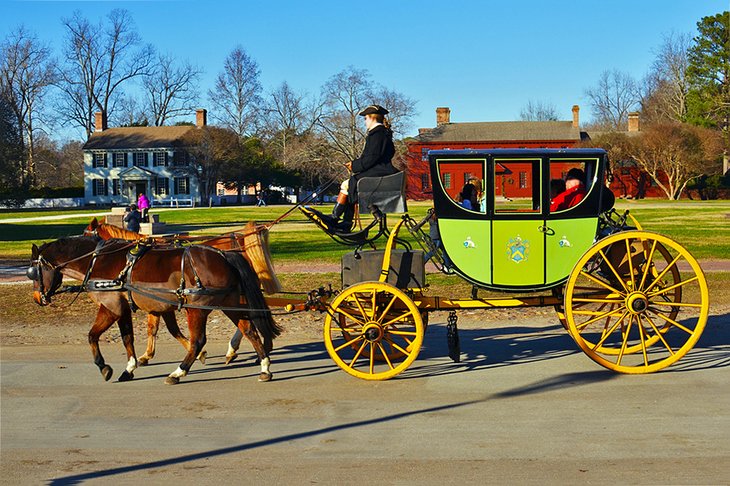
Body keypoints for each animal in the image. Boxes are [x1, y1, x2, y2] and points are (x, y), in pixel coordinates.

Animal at [29, 235, 278, 384]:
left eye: (32, 272)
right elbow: (128, 338)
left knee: (198, 340)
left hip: (196, 309)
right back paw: (264, 367)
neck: (97, 261)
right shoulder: (127, 308)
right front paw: (130, 367)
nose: (37, 298)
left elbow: (92, 335)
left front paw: (104, 367)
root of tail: (224, 255)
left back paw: (179, 372)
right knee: (250, 330)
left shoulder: (111, 306)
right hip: (230, 304)